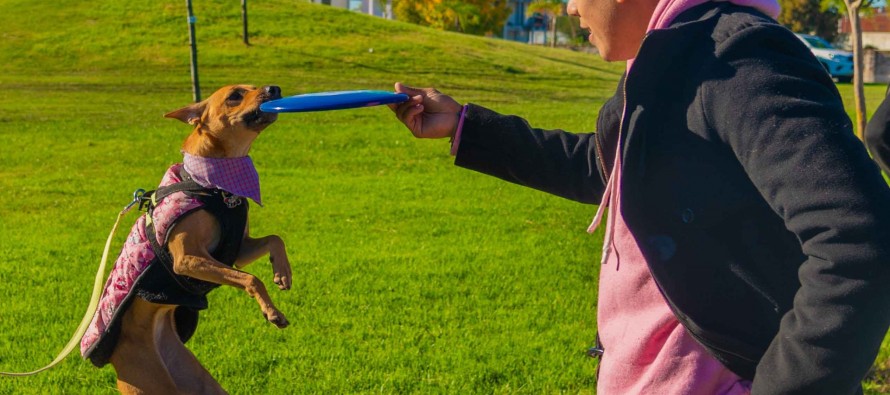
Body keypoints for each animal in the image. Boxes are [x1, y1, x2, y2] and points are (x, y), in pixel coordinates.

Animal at [103, 85, 292, 394]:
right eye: (235, 95)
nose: (273, 88)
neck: (214, 186)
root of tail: (115, 359)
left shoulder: (238, 249)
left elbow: (275, 239)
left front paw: (283, 272)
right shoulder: (187, 259)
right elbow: (252, 279)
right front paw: (272, 312)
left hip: (199, 381)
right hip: (150, 383)